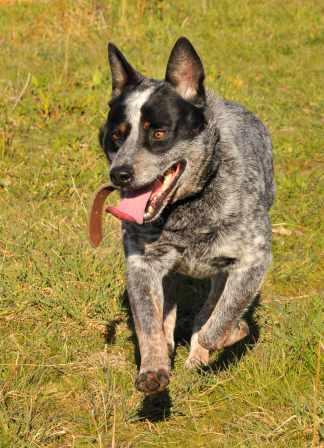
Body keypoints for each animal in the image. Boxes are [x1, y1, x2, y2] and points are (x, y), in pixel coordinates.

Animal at [90, 37, 274, 396]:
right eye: (116, 136)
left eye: (159, 133)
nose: (120, 173)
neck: (187, 210)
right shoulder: (141, 264)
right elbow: (148, 324)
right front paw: (154, 367)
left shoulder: (253, 260)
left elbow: (219, 322)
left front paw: (230, 333)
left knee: (212, 306)